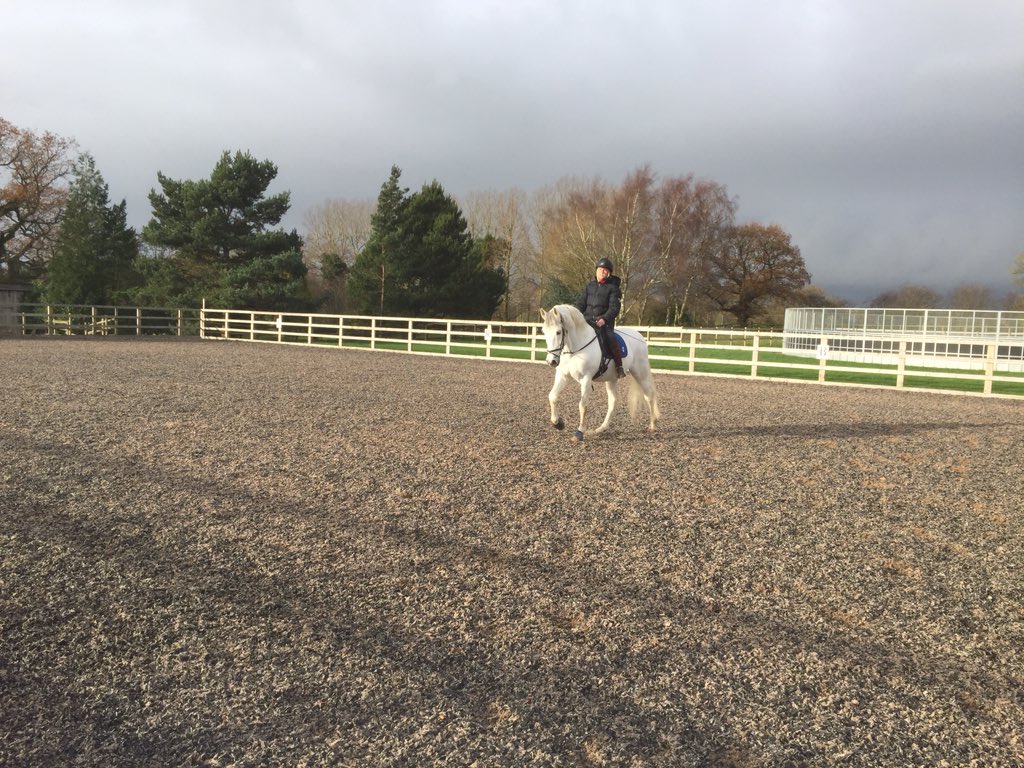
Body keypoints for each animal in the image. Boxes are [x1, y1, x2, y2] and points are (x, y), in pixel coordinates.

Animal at [539, 304, 660, 440]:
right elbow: (552, 396)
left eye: (558, 332)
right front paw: (558, 423)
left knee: (649, 395)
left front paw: (579, 432)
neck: (576, 348)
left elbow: (583, 405)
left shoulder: (586, 379)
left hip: (640, 372)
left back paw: (652, 425)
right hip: (612, 379)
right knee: (613, 401)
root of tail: (639, 336)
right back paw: (601, 429)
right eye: (543, 332)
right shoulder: (562, 376)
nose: (551, 361)